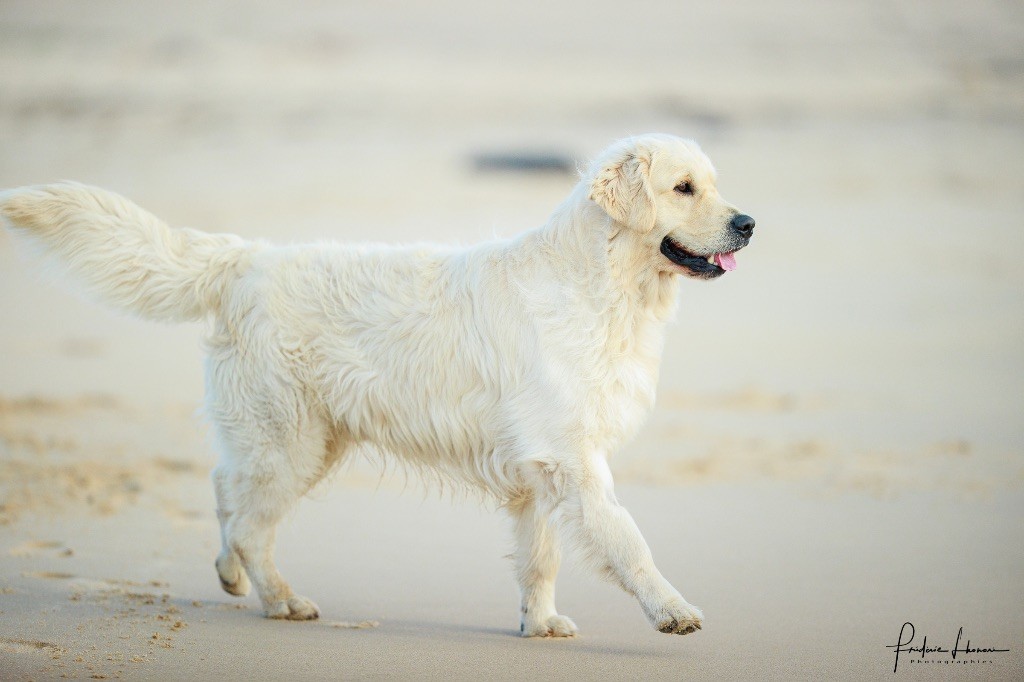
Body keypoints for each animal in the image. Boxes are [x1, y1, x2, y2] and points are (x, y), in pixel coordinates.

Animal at [0, 134, 753, 638]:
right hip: (293, 441)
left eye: (714, 185)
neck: (602, 285)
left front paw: (539, 623)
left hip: (295, 440)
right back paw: (282, 599)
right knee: (249, 522)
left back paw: (233, 577)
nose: (748, 223)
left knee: (225, 491)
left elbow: (539, 558)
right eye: (684, 188)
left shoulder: (539, 464)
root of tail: (246, 258)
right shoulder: (570, 454)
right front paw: (672, 610)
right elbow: (626, 540)